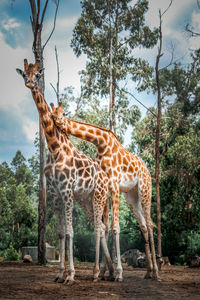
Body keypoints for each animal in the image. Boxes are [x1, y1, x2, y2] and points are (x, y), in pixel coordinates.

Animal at [16, 60, 113, 284]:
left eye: (38, 73)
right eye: (24, 73)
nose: (30, 82)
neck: (54, 149)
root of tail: (105, 178)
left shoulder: (67, 190)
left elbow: (70, 231)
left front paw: (71, 275)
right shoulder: (54, 193)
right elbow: (60, 233)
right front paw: (60, 274)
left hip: (98, 196)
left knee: (98, 228)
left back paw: (97, 272)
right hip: (86, 199)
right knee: (101, 227)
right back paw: (109, 271)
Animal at [51, 103, 159, 282]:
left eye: (63, 114)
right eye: (53, 114)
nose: (57, 121)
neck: (101, 143)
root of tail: (148, 171)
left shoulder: (113, 184)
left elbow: (114, 226)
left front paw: (118, 273)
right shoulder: (105, 186)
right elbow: (105, 227)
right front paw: (103, 272)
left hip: (145, 189)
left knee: (150, 224)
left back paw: (157, 272)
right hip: (131, 196)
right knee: (143, 224)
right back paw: (148, 271)